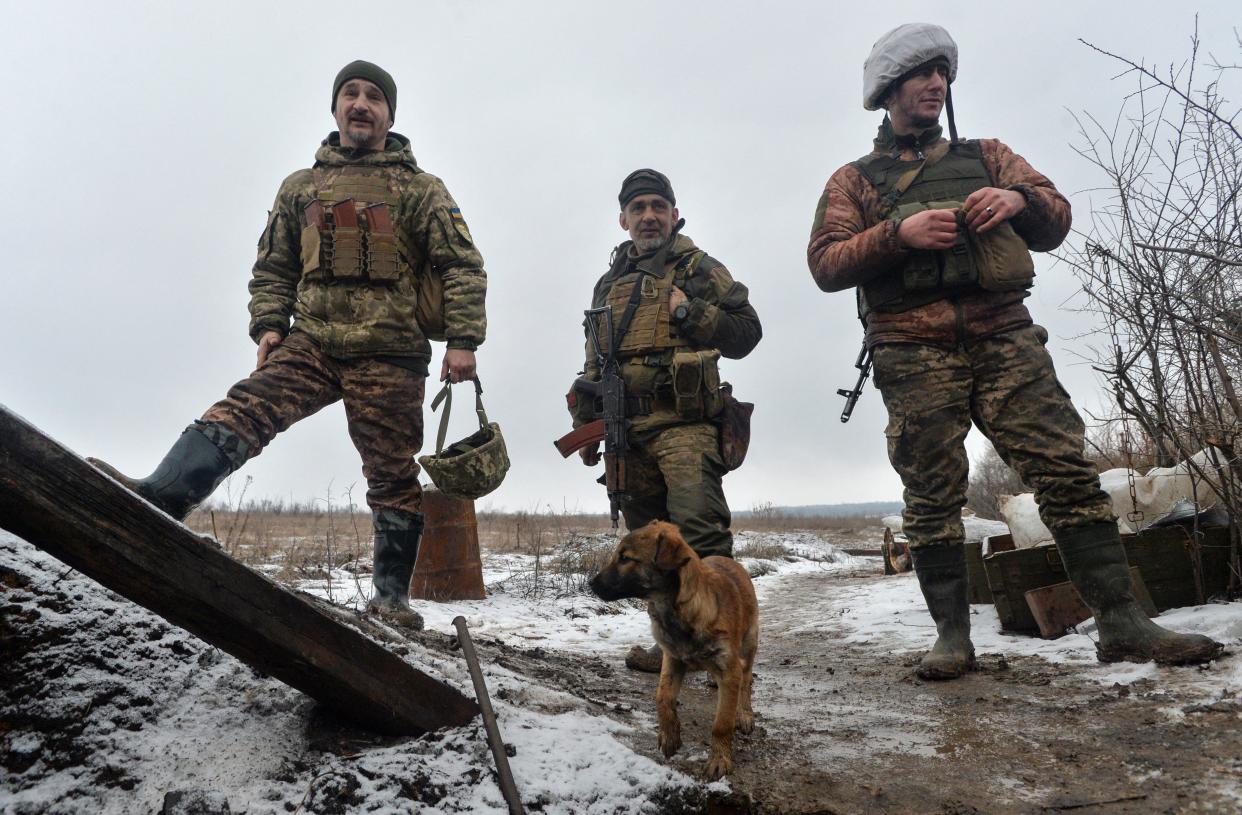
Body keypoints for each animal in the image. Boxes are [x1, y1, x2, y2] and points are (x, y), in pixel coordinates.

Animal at [588, 519, 755, 780]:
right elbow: (662, 697)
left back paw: (745, 714)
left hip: (749, 645)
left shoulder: (729, 669)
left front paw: (719, 759)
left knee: (747, 681)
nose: (590, 583)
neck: (679, 611)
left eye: (625, 558)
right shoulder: (673, 658)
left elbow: (722, 722)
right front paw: (669, 737)